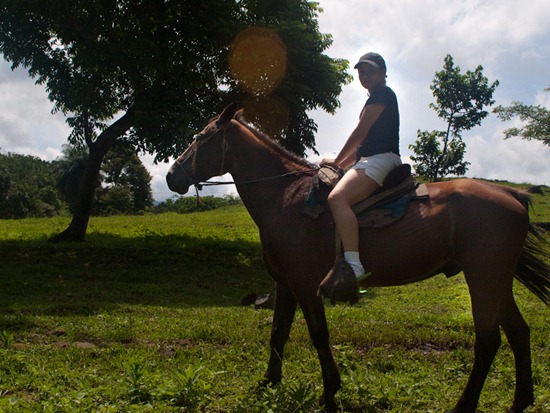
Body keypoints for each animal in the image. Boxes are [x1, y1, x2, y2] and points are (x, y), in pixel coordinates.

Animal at [167, 101, 550, 410]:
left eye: (200, 137)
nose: (171, 176)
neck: (284, 194)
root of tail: (512, 195)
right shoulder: (285, 285)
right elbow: (278, 333)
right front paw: (268, 382)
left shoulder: (305, 284)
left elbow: (318, 335)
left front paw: (329, 391)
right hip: (498, 280)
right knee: (519, 333)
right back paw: (520, 401)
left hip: (483, 278)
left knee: (488, 340)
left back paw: (465, 404)